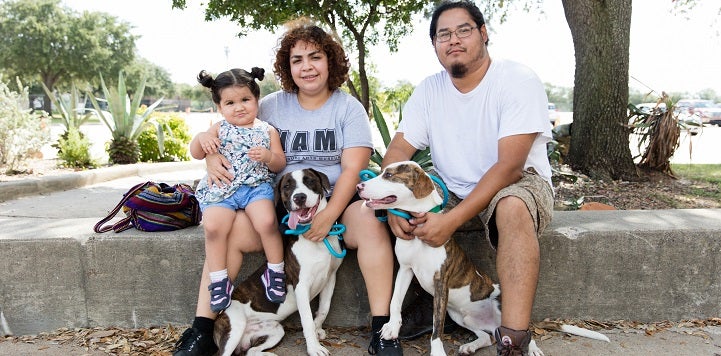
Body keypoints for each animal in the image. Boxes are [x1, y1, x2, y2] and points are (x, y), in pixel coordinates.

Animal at [212, 169, 344, 356]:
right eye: (287, 187)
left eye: (309, 181)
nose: (299, 197)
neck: (316, 240)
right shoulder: (301, 286)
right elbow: (306, 320)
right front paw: (314, 348)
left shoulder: (330, 277)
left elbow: (324, 308)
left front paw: (318, 330)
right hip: (235, 327)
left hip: (275, 331)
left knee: (251, 351)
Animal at [356, 162, 608, 356]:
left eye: (389, 175)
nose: (359, 185)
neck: (418, 229)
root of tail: (494, 323)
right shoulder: (406, 269)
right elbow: (394, 301)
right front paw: (391, 328)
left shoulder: (441, 283)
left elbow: (437, 328)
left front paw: (437, 351)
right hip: (461, 317)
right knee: (488, 338)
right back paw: (472, 345)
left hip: (501, 305)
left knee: (524, 329)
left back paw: (532, 347)